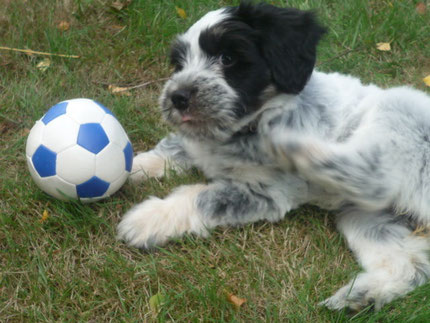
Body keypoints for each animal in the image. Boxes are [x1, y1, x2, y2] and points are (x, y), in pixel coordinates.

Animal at [117, 1, 430, 312]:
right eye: (179, 64)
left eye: (227, 58)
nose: (177, 98)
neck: (244, 129)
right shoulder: (199, 145)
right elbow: (173, 148)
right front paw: (132, 169)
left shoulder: (267, 193)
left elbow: (202, 196)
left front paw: (148, 218)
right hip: (367, 218)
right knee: (410, 265)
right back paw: (361, 296)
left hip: (397, 111)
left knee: (371, 174)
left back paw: (294, 147)